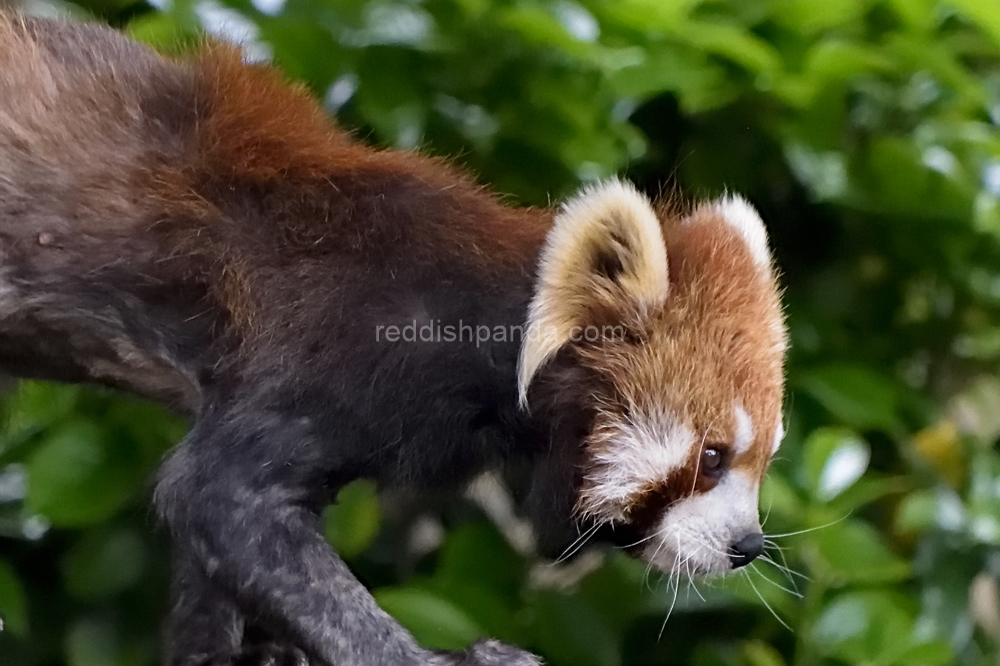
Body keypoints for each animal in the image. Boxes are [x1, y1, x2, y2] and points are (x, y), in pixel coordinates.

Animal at [0, 14, 788, 664]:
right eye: (712, 457)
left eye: (764, 458)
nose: (748, 547)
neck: (491, 331)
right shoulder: (349, 356)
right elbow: (218, 495)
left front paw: (229, 652)